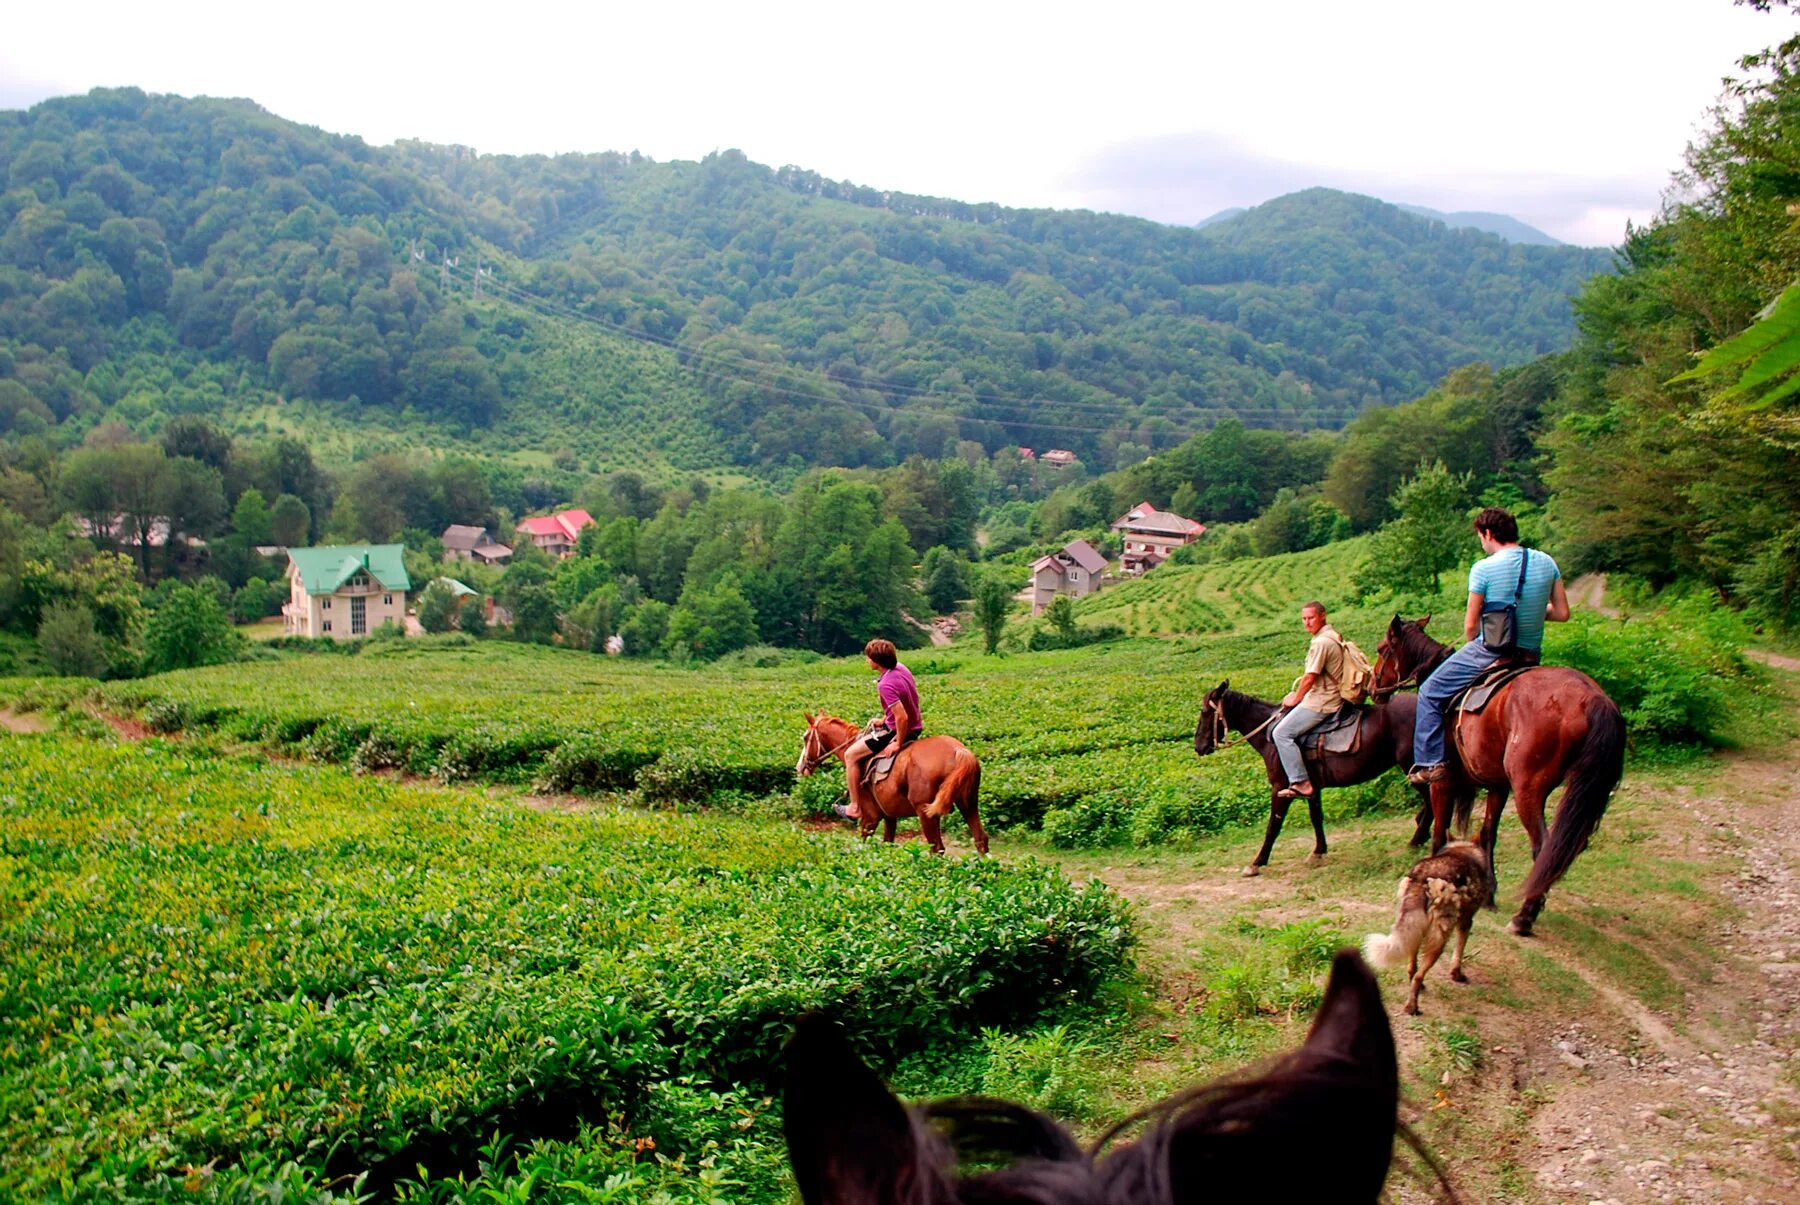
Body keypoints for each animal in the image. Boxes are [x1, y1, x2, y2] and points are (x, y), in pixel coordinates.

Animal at [802, 713, 1000, 853]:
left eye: (805, 738)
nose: (800, 766)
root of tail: (959, 751)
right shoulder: (890, 815)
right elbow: (887, 843)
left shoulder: (870, 817)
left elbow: (864, 843)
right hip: (969, 804)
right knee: (981, 839)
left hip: (925, 812)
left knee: (937, 848)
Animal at [1195, 684, 1432, 875]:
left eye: (1206, 712)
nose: (1198, 746)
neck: (1269, 737)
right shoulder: (1312, 787)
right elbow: (1316, 817)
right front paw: (1318, 851)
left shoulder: (1280, 788)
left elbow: (1273, 825)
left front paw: (1257, 862)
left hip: (1413, 766)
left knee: (1431, 801)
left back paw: (1418, 839)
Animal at [1360, 842, 1490, 1008]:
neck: (1462, 849)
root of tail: (1422, 877)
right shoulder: (1466, 923)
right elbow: (1458, 954)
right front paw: (1457, 975)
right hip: (1439, 942)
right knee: (1418, 976)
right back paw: (1412, 1007)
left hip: (1413, 932)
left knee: (1412, 969)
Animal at [1368, 616, 1627, 936]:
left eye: (1382, 649)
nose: (1372, 687)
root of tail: (1592, 698)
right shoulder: (1497, 785)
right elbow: (1488, 834)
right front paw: (1489, 895)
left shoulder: (1443, 783)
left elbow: (1440, 832)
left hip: (1529, 789)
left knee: (1545, 846)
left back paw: (1524, 917)